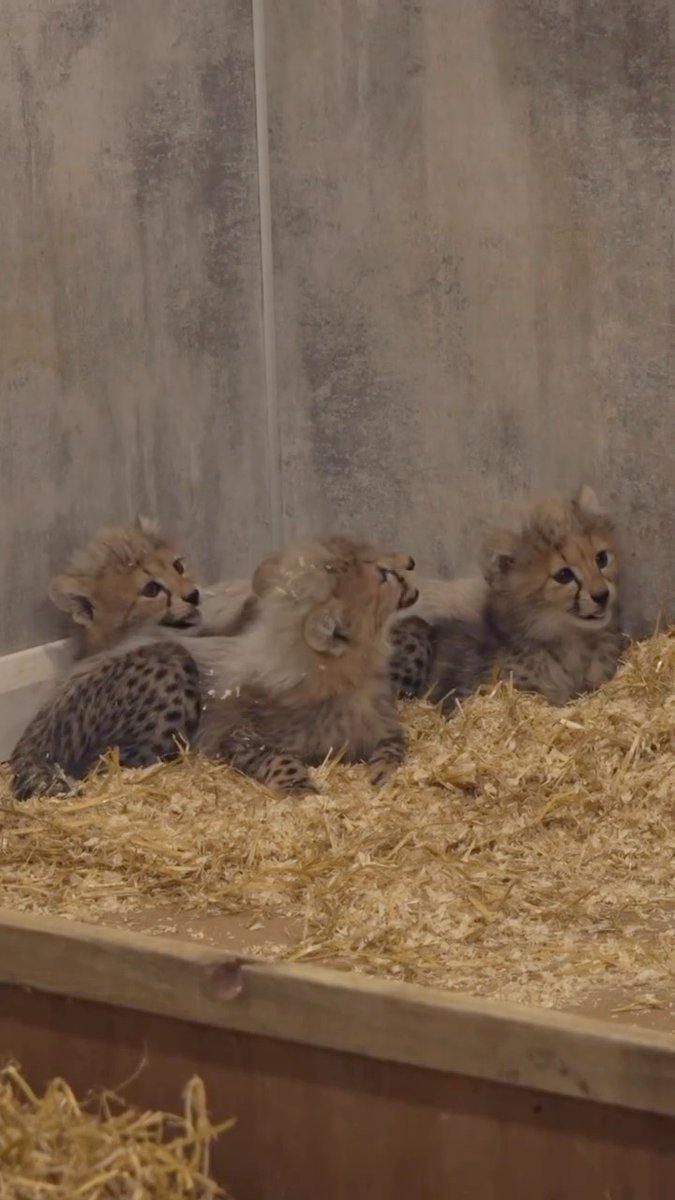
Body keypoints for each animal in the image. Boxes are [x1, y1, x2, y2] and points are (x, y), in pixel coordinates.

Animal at [195, 536, 419, 792]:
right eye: (383, 575)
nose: (411, 560)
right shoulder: (235, 736)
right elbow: (278, 758)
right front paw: (299, 786)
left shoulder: (384, 729)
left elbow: (392, 747)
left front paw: (383, 772)